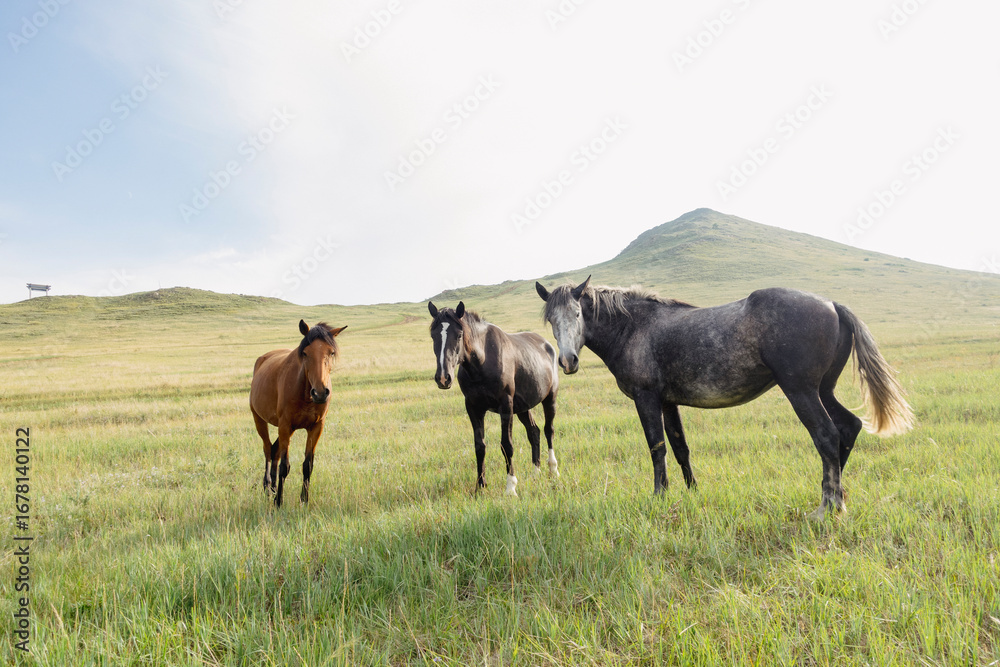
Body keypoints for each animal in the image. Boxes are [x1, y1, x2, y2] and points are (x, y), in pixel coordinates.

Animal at [249, 320, 347, 507]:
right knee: (267, 450)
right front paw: (278, 502)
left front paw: (304, 500)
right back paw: (267, 487)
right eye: (305, 353)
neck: (305, 393)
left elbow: (307, 465)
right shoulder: (285, 425)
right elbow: (285, 466)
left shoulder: (316, 427)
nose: (320, 393)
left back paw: (273, 487)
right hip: (260, 420)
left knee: (274, 451)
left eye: (331, 352)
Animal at [428, 301, 560, 496]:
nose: (444, 378)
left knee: (548, 430)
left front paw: (511, 487)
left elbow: (507, 445)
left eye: (459, 335)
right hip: (523, 407)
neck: (483, 361)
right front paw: (480, 486)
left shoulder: (506, 406)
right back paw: (536, 472)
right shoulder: (473, 407)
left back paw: (553, 470)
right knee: (534, 432)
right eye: (433, 335)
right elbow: (480, 446)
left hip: (549, 399)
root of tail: (546, 344)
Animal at [536, 276, 914, 518]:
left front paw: (659, 496)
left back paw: (827, 506)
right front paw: (692, 492)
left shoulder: (646, 400)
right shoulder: (669, 402)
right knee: (848, 427)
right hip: (824, 389)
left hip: (802, 391)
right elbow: (680, 448)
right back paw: (838, 497)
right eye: (551, 320)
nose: (567, 361)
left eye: (578, 314)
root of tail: (832, 304)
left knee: (827, 435)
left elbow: (657, 448)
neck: (635, 328)